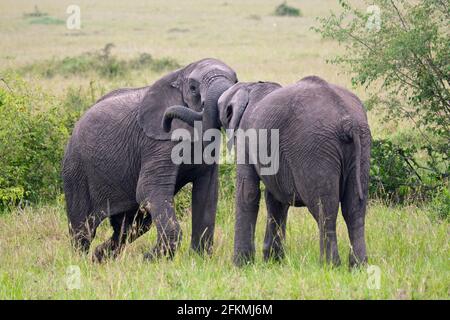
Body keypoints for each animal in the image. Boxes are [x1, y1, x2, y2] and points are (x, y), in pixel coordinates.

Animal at [63, 58, 239, 262]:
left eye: (236, 82)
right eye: (193, 88)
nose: (167, 119)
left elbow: (207, 193)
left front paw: (199, 260)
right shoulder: (155, 141)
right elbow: (149, 189)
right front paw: (149, 260)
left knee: (131, 226)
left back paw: (98, 258)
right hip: (75, 169)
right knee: (84, 228)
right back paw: (81, 261)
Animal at [165, 78, 370, 268]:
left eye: (222, 111)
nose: (166, 125)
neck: (249, 86)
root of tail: (348, 122)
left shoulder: (246, 136)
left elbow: (248, 193)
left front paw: (240, 265)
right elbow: (275, 200)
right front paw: (273, 262)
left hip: (316, 150)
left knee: (324, 208)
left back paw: (329, 266)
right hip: (361, 147)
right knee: (354, 209)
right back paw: (358, 266)